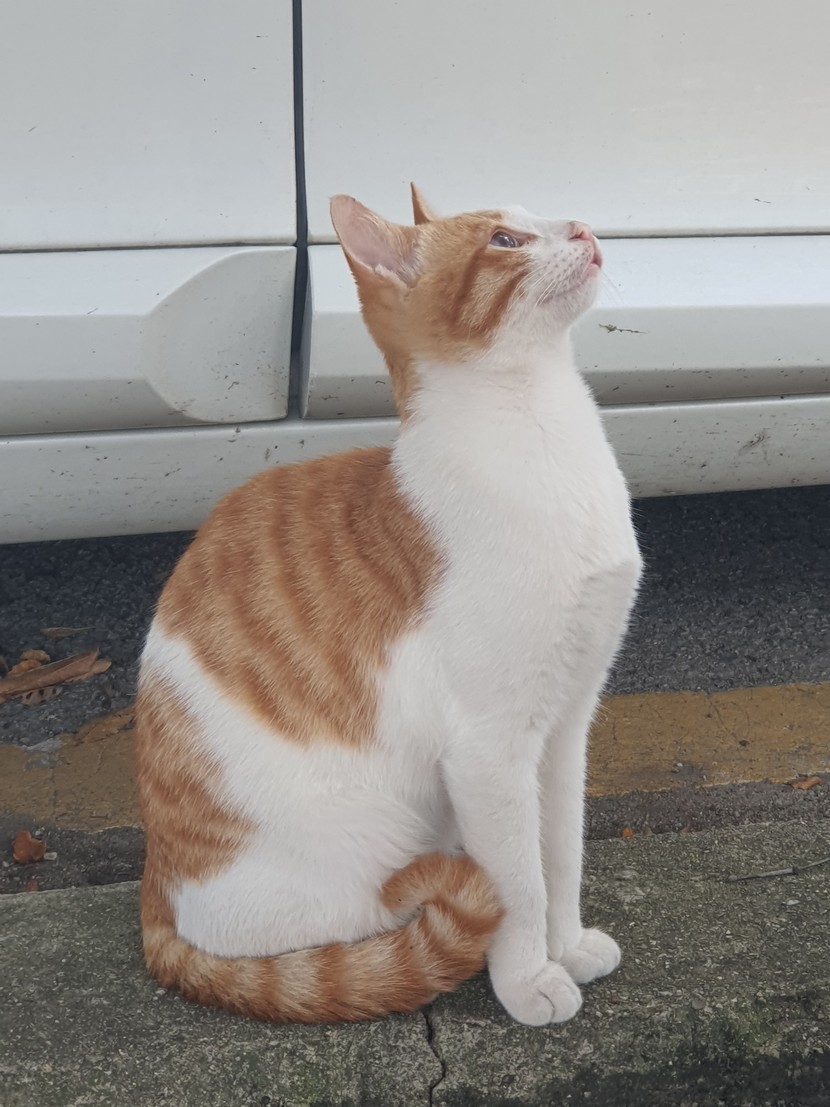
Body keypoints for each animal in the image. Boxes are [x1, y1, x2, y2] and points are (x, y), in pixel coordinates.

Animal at [135, 184, 642, 1026]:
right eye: (506, 240)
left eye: (543, 216)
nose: (583, 226)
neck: (541, 429)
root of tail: (157, 887)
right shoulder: (488, 749)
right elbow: (520, 880)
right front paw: (526, 975)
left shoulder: (567, 725)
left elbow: (562, 852)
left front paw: (565, 943)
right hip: (375, 841)